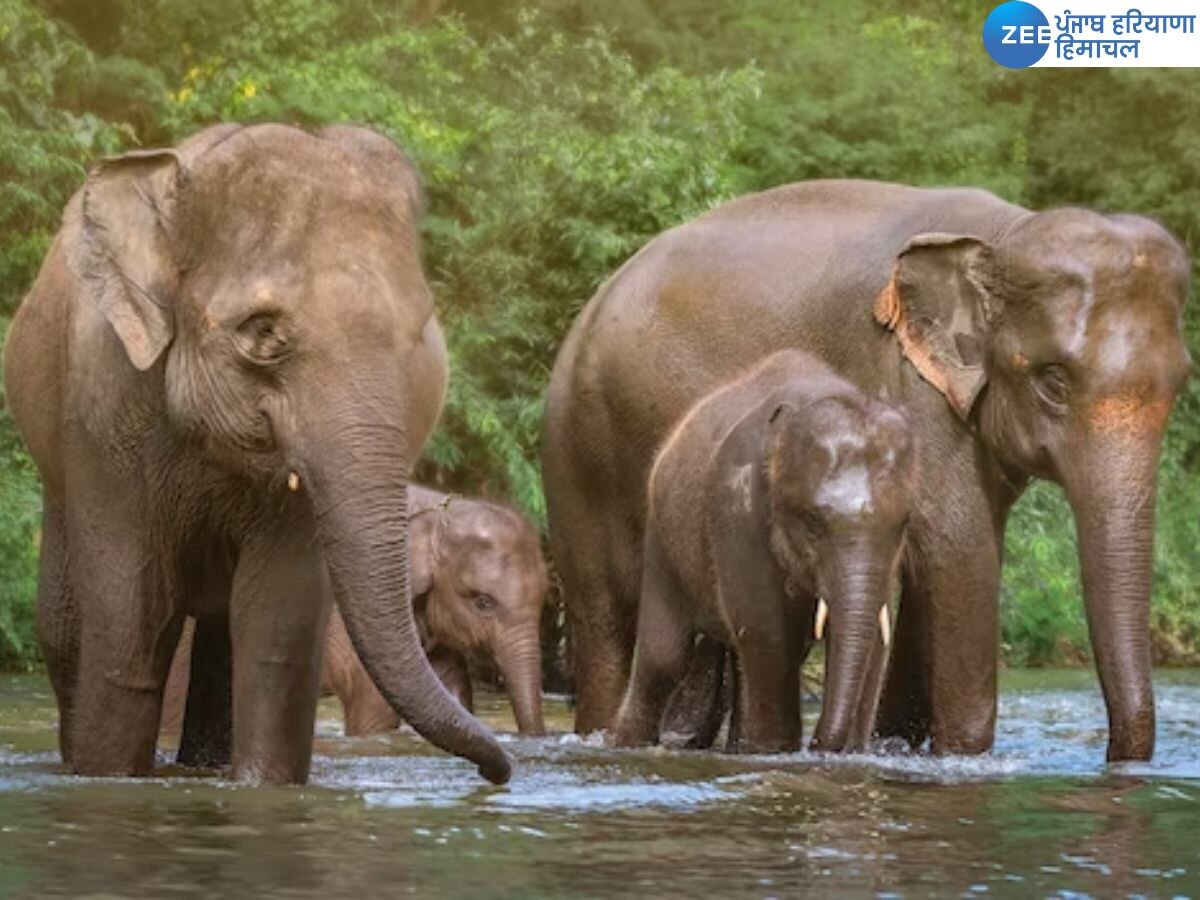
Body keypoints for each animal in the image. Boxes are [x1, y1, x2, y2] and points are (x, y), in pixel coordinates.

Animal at [3, 123, 511, 787]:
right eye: (264, 333)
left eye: (420, 332)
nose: (495, 773)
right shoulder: (103, 412)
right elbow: (133, 624)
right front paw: (109, 780)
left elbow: (276, 628)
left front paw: (260, 789)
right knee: (65, 630)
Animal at [614, 348, 912, 758]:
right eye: (812, 521)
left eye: (904, 523)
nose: (818, 746)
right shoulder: (737, 506)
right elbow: (765, 630)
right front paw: (775, 749)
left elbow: (878, 641)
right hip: (662, 539)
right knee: (663, 659)